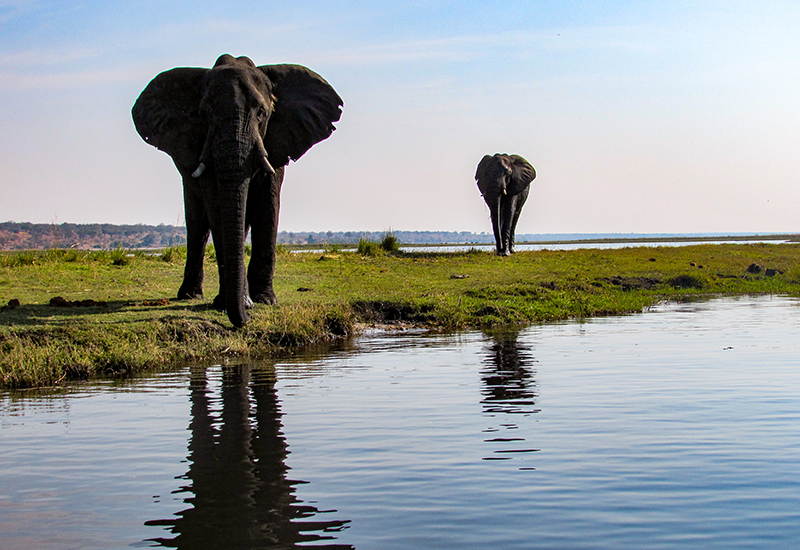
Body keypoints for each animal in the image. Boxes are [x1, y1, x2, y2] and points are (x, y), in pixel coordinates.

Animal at [132, 55, 344, 328]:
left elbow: (267, 204)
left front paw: (264, 300)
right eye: (204, 114)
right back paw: (190, 295)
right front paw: (230, 304)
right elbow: (217, 209)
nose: (247, 318)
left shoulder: (276, 140)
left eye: (262, 113)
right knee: (198, 224)